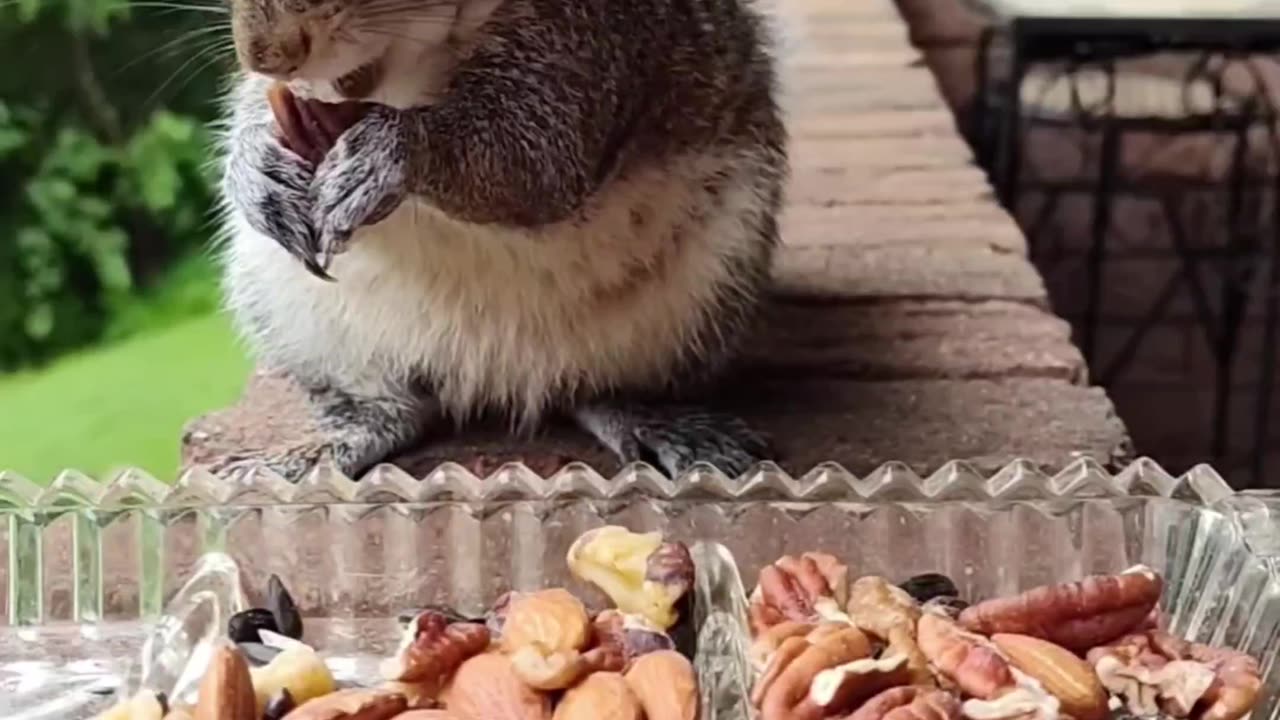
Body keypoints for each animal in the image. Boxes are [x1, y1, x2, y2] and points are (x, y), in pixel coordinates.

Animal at [214, 0, 791, 481]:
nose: (264, 53)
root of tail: (489, 381)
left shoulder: (589, 51)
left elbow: (535, 158)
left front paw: (393, 152)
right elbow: (255, 103)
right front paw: (254, 164)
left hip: (706, 293)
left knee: (599, 392)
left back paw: (657, 420)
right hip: (294, 314)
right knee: (394, 410)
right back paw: (329, 443)